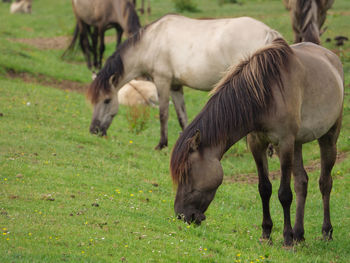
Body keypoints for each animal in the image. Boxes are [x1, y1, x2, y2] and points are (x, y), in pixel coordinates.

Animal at [87, 14, 282, 150]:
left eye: (107, 100)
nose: (94, 131)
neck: (152, 41)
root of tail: (268, 32)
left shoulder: (162, 82)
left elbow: (163, 114)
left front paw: (161, 144)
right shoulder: (175, 86)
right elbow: (182, 117)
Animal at [171, 38, 344, 248]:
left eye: (187, 172)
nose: (181, 215)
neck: (266, 94)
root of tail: (333, 58)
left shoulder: (284, 144)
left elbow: (284, 194)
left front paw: (287, 238)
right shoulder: (257, 144)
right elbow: (265, 189)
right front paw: (266, 233)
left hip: (328, 137)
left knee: (325, 183)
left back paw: (325, 232)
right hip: (298, 143)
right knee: (301, 183)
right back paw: (299, 234)